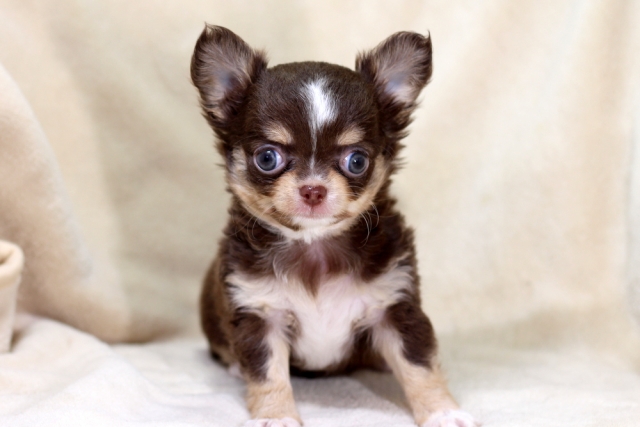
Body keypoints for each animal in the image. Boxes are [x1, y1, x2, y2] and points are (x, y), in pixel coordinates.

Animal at [191, 25, 477, 427]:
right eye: (267, 158)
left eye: (356, 161)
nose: (313, 188)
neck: (315, 246)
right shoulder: (259, 314)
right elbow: (267, 374)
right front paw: (277, 416)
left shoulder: (396, 306)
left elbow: (419, 366)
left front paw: (442, 411)